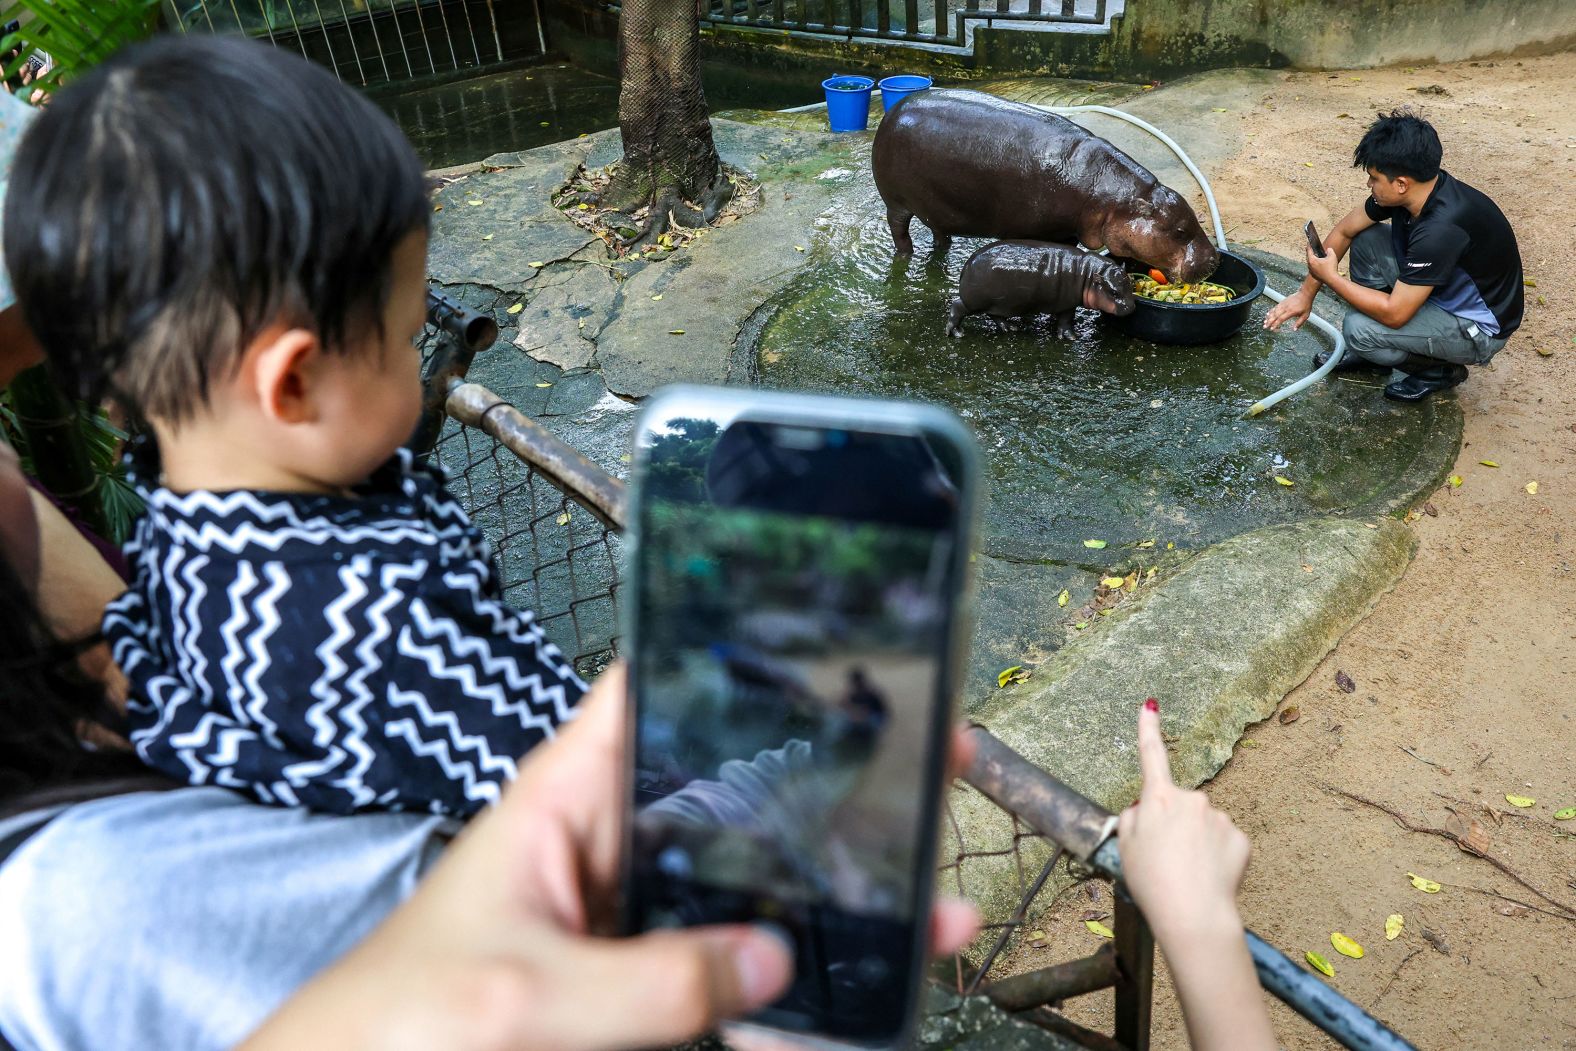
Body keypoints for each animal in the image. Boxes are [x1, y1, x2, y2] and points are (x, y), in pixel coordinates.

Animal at [876, 89, 1216, 283]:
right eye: (1181, 231)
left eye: (1195, 219)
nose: (1214, 261)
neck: (1112, 198)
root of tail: (892, 112)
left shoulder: (1066, 232)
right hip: (895, 202)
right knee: (899, 230)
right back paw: (904, 257)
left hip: (936, 205)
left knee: (938, 229)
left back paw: (941, 249)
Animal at [945, 241, 1134, 338]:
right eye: (1114, 292)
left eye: (1130, 285)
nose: (1131, 307)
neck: (1087, 273)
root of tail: (966, 266)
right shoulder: (1068, 304)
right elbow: (1066, 321)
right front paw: (1071, 337)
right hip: (975, 301)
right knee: (957, 306)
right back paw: (956, 333)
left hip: (999, 303)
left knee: (995, 315)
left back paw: (1010, 328)